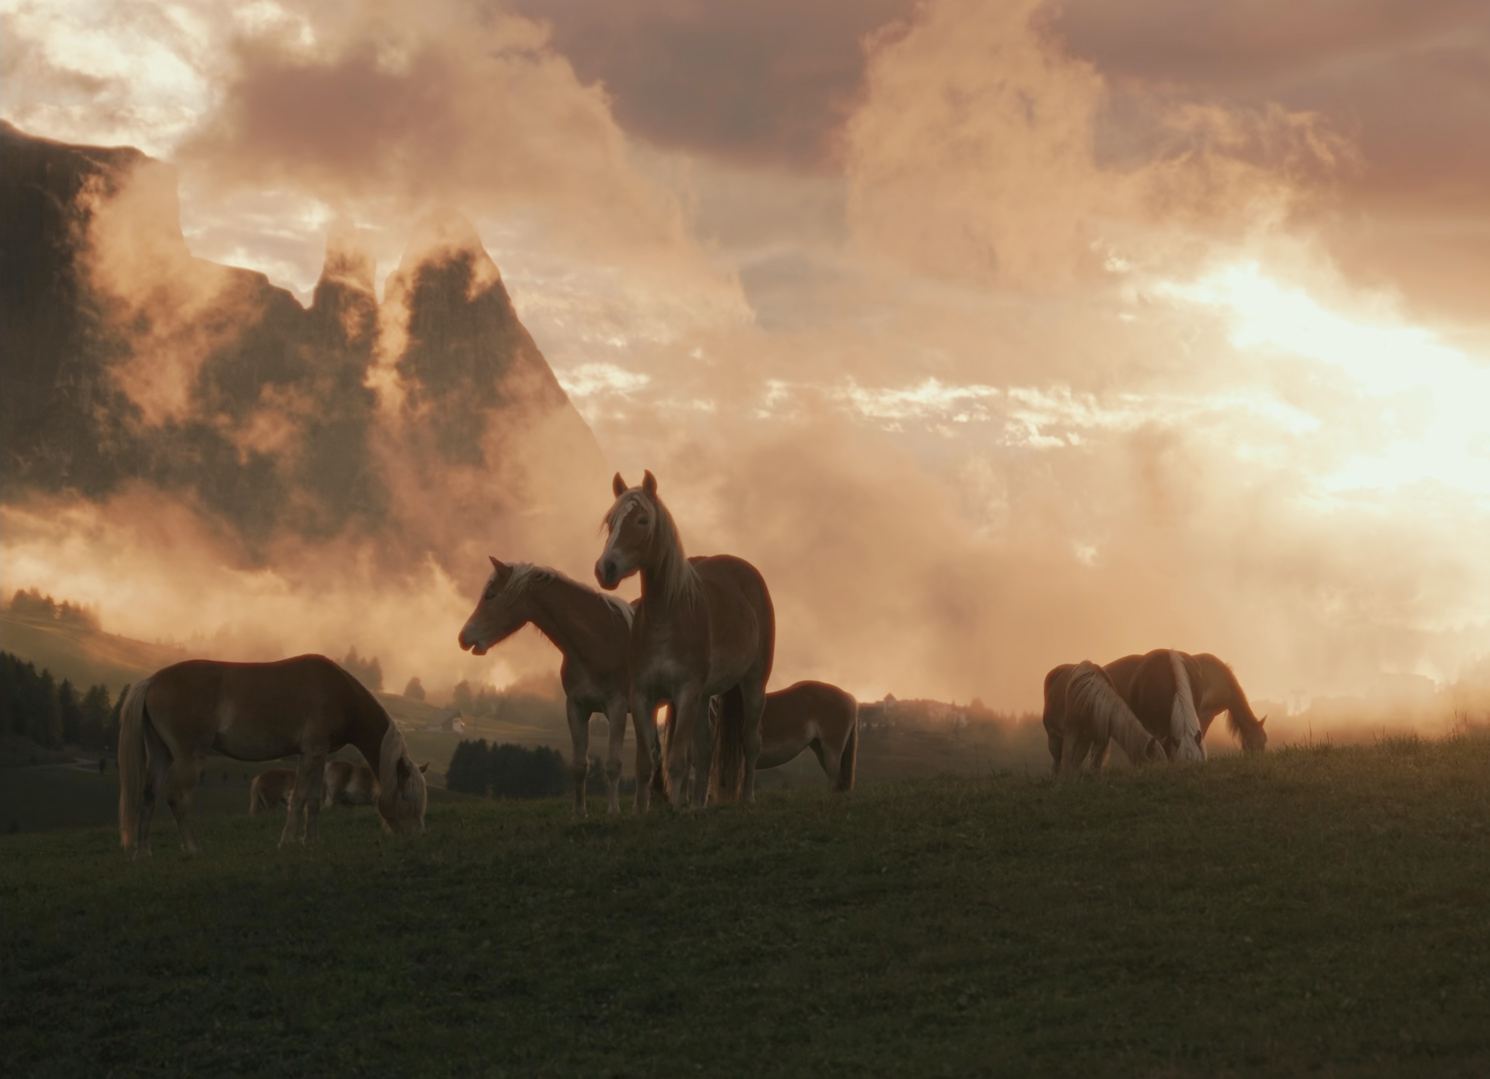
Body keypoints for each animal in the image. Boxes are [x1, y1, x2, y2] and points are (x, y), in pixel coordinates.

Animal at [119, 652, 429, 858]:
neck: (339, 692)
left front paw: (311, 841)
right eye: (406, 796)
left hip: (160, 754)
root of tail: (152, 681)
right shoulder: (311, 751)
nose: (416, 835)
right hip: (188, 758)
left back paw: (143, 852)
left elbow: (313, 799)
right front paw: (288, 841)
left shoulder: (319, 754)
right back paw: (194, 848)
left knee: (148, 796)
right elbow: (300, 797)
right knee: (177, 799)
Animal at [455, 560, 637, 810]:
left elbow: (613, 765)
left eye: (490, 595)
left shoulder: (616, 708)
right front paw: (579, 812)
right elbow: (579, 766)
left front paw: (613, 811)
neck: (601, 640)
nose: (463, 638)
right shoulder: (576, 708)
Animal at [593, 470, 780, 810]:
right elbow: (646, 763)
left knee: (751, 744)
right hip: (704, 696)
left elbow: (678, 760)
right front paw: (642, 811)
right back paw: (696, 804)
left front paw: (675, 810)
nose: (605, 569)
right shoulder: (643, 695)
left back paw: (746, 798)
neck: (666, 617)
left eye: (642, 520)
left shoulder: (686, 692)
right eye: (612, 522)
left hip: (752, 684)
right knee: (705, 752)